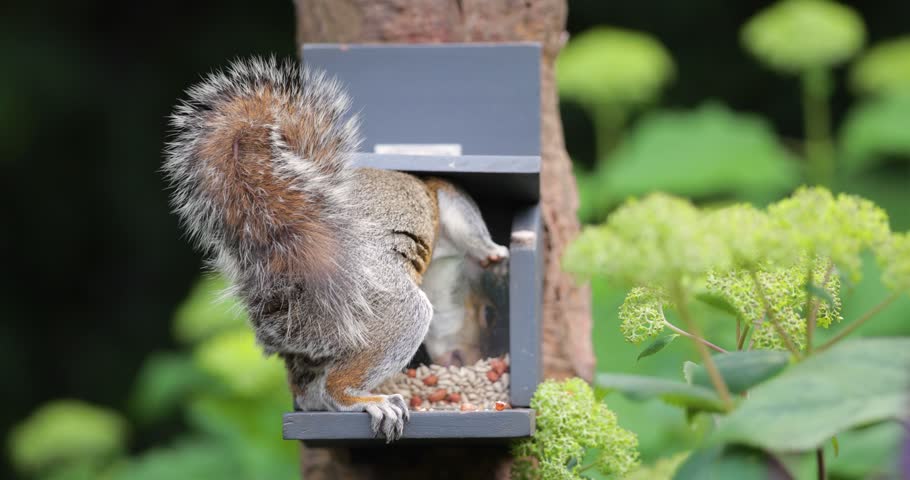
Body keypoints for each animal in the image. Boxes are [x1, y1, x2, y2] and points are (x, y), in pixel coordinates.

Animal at [163, 57, 508, 441]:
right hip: (389, 309)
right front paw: (495, 251)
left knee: (309, 391)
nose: (468, 356)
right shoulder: (447, 198)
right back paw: (369, 401)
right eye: (487, 313)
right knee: (338, 386)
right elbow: (472, 229)